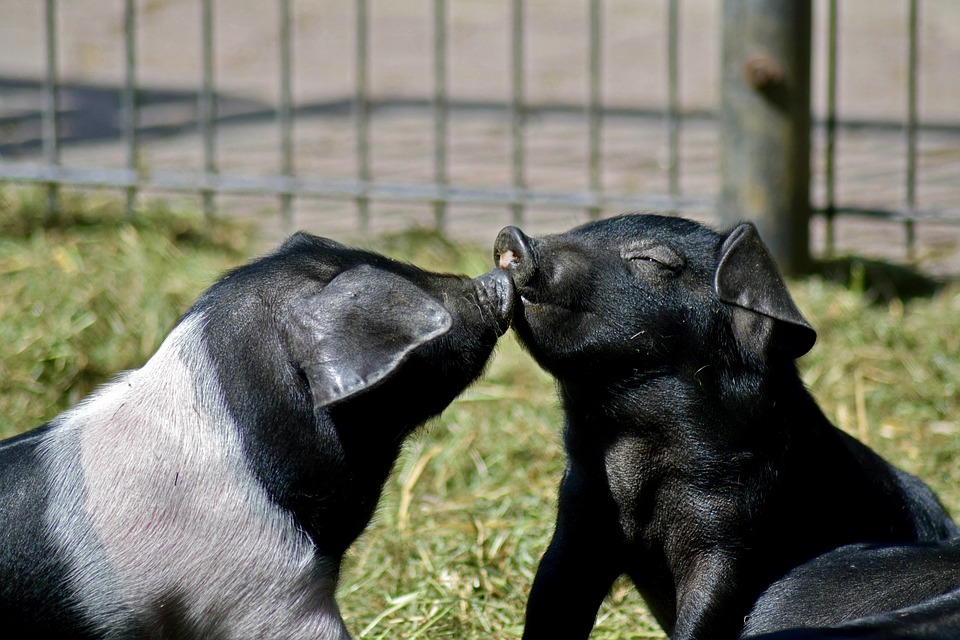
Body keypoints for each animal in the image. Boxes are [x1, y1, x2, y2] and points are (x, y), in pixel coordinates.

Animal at [492, 215, 956, 640]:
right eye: (584, 227)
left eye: (651, 259)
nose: (513, 235)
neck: (632, 451)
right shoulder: (581, 512)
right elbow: (552, 596)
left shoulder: (734, 528)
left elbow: (708, 607)